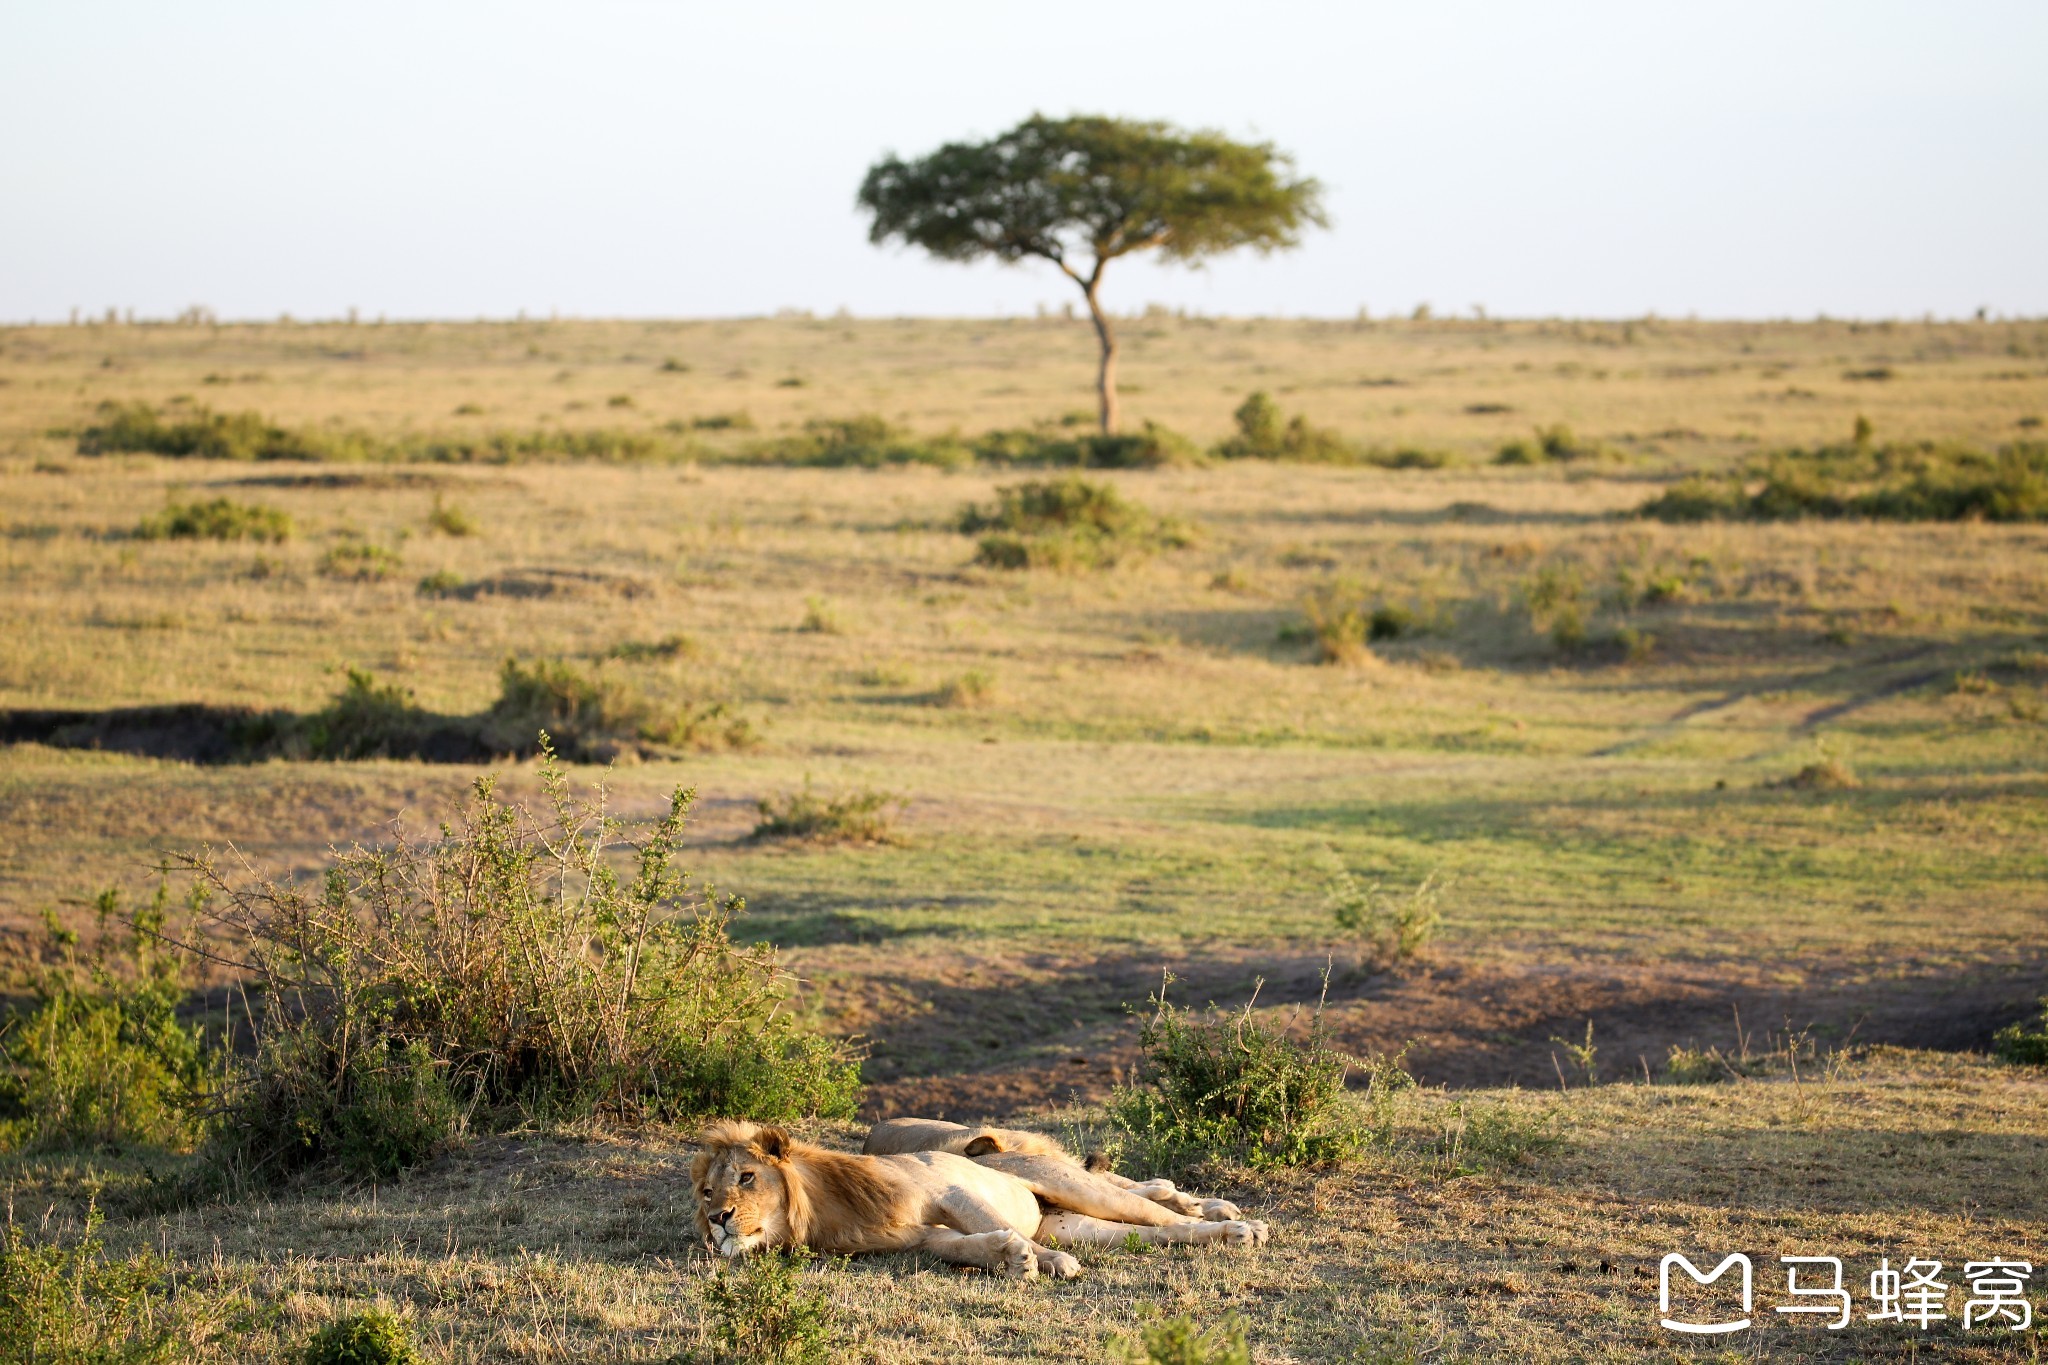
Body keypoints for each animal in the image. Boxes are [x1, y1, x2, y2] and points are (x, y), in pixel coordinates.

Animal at [688, 1121, 1261, 1285]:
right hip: (1079, 1222)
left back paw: (1238, 1227)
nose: (718, 1220)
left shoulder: (948, 1189)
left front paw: (1039, 1262)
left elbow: (988, 1220)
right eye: (706, 1192)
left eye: (747, 1177)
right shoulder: (921, 1236)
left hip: (1074, 1185)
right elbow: (964, 1247)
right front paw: (1009, 1257)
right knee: (1157, 1232)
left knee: (1158, 1209)